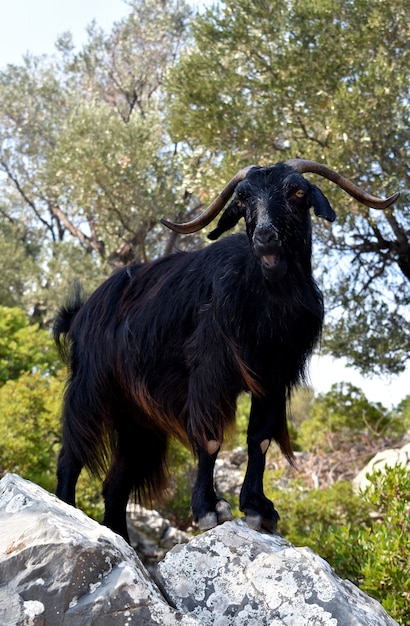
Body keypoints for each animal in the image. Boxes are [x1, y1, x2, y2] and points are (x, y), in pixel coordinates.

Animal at [53, 158, 398, 540]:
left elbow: (260, 438)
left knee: (116, 484)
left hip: (137, 420)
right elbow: (210, 438)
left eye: (297, 191)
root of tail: (81, 312)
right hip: (90, 389)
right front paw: (208, 507)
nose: (264, 237)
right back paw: (67, 511)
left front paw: (259, 507)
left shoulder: (274, 378)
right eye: (243, 199)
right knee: (72, 453)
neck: (265, 295)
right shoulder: (210, 372)